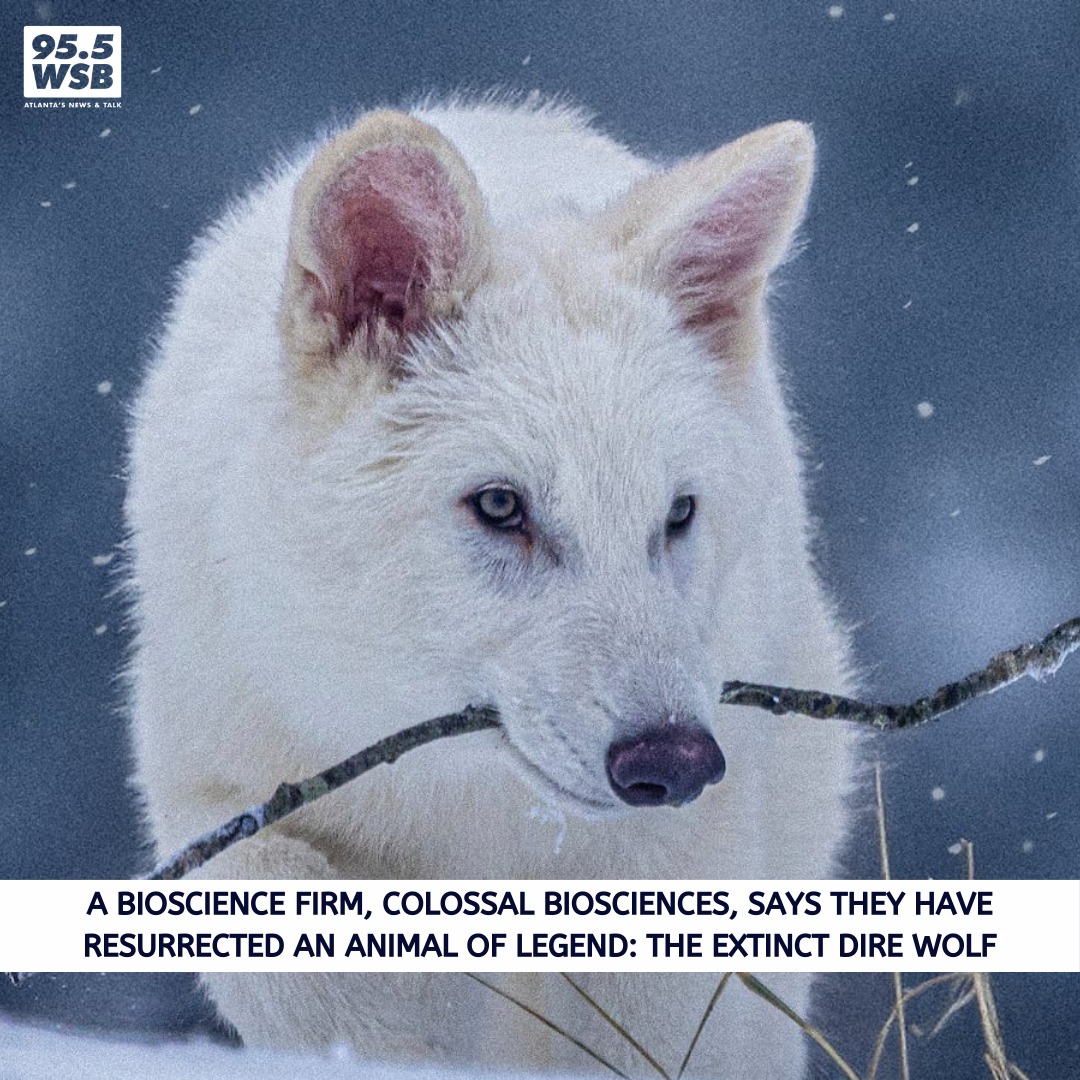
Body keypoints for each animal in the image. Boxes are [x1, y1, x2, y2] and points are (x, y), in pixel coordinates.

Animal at [126, 97, 857, 1077]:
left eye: (676, 513)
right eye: (501, 505)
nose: (675, 762)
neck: (465, 795)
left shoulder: (668, 866)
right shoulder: (219, 796)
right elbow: (338, 990)